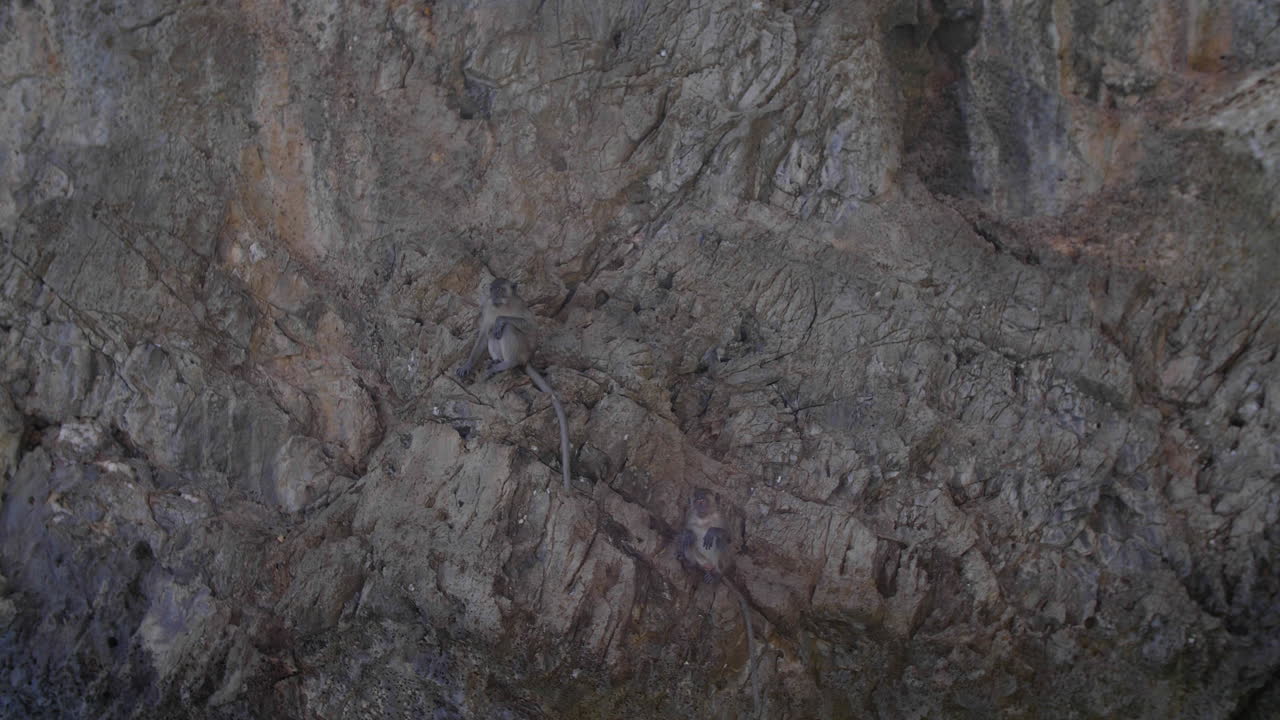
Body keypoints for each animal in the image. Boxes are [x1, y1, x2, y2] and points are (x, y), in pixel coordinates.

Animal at [455, 278, 572, 489]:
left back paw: (507, 362)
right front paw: (467, 365)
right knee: (492, 332)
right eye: (493, 289)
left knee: (506, 329)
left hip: (522, 350)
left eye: (501, 289)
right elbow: (483, 334)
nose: (494, 296)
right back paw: (496, 361)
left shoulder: (520, 305)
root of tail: (526, 360)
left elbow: (529, 326)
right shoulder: (488, 308)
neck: (502, 305)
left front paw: (502, 319)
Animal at [677, 488, 761, 717]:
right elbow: (685, 531)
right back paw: (690, 563)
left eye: (704, 501)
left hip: (721, 562)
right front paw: (688, 535)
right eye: (697, 501)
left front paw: (713, 531)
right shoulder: (689, 516)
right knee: (689, 543)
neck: (704, 519)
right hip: (699, 559)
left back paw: (715, 575)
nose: (700, 505)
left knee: (722, 544)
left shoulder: (722, 518)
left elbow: (728, 536)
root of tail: (708, 566)